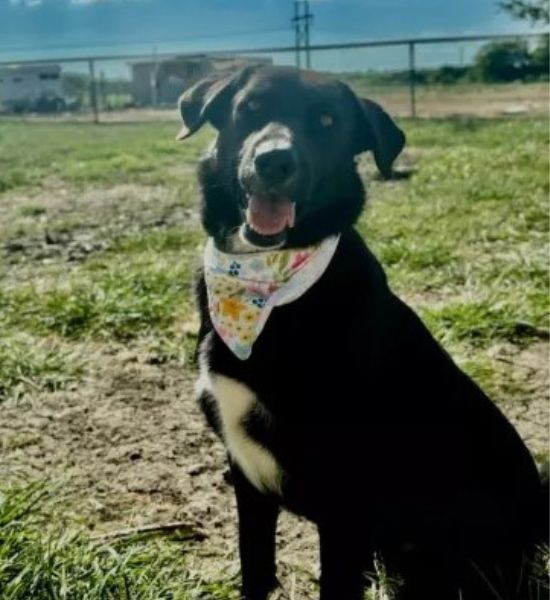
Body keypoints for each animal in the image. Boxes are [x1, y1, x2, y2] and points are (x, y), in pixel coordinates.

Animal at [177, 67, 548, 600]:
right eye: (251, 108)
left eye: (327, 122)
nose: (274, 160)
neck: (268, 289)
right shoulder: (244, 470)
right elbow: (255, 563)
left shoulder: (344, 498)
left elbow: (334, 579)